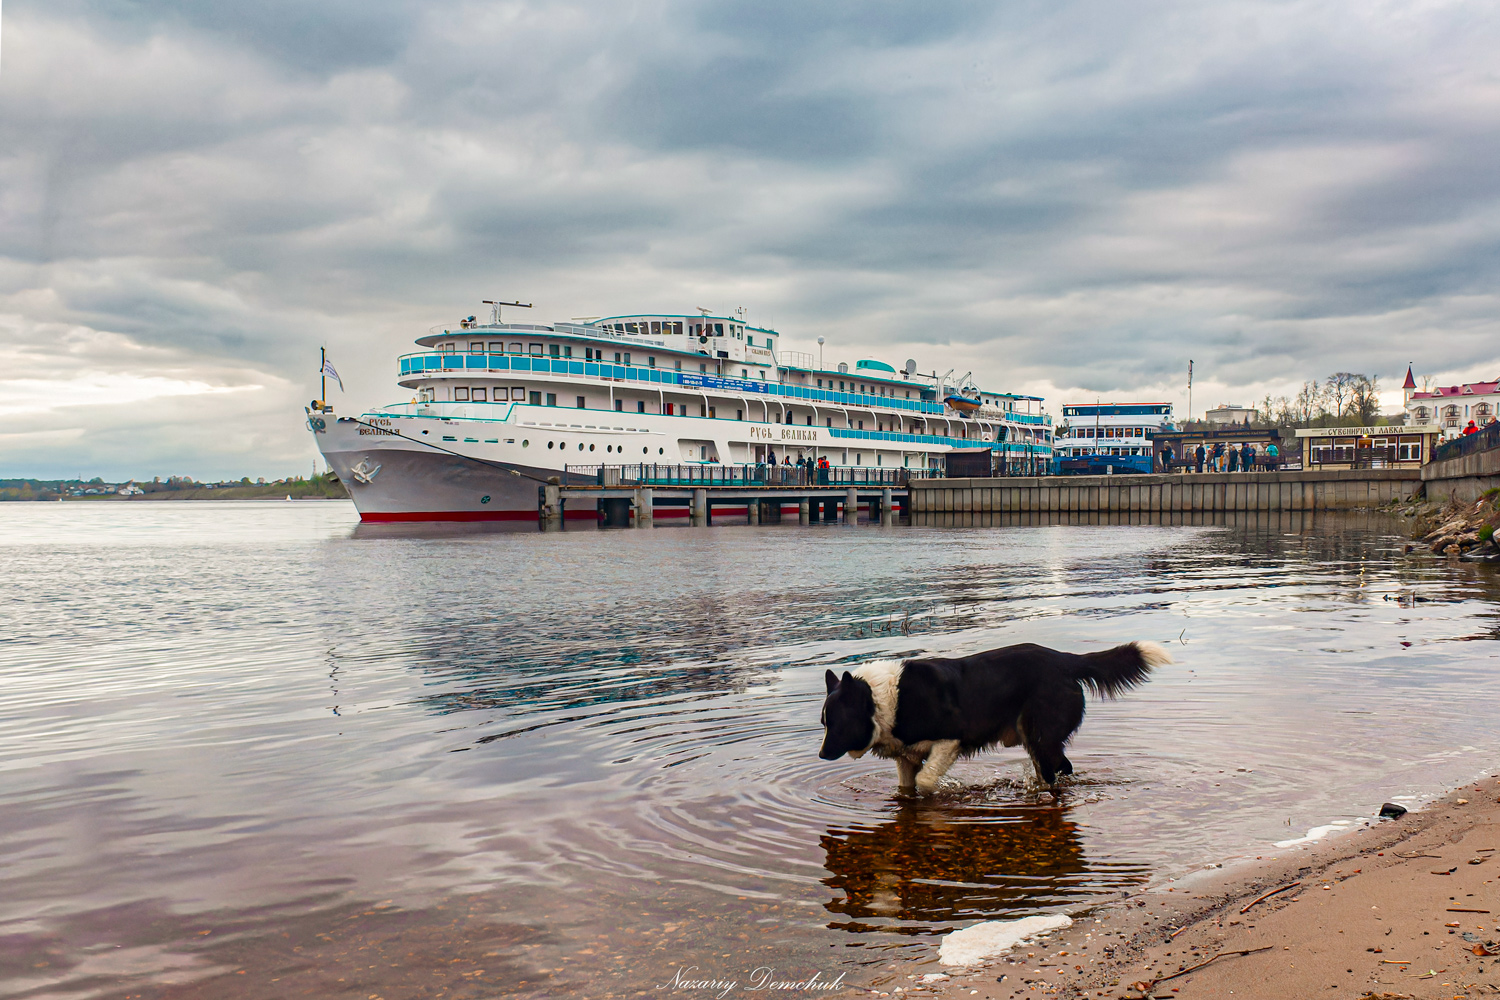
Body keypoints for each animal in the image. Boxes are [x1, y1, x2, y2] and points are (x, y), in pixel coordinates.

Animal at [822, 641, 1170, 797]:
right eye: (824, 724)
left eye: (837, 723)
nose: (822, 755)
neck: (879, 699)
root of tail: (1064, 660)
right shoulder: (906, 757)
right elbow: (908, 786)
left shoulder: (950, 739)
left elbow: (926, 781)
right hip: (1035, 739)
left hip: (1042, 737)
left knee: (1059, 771)